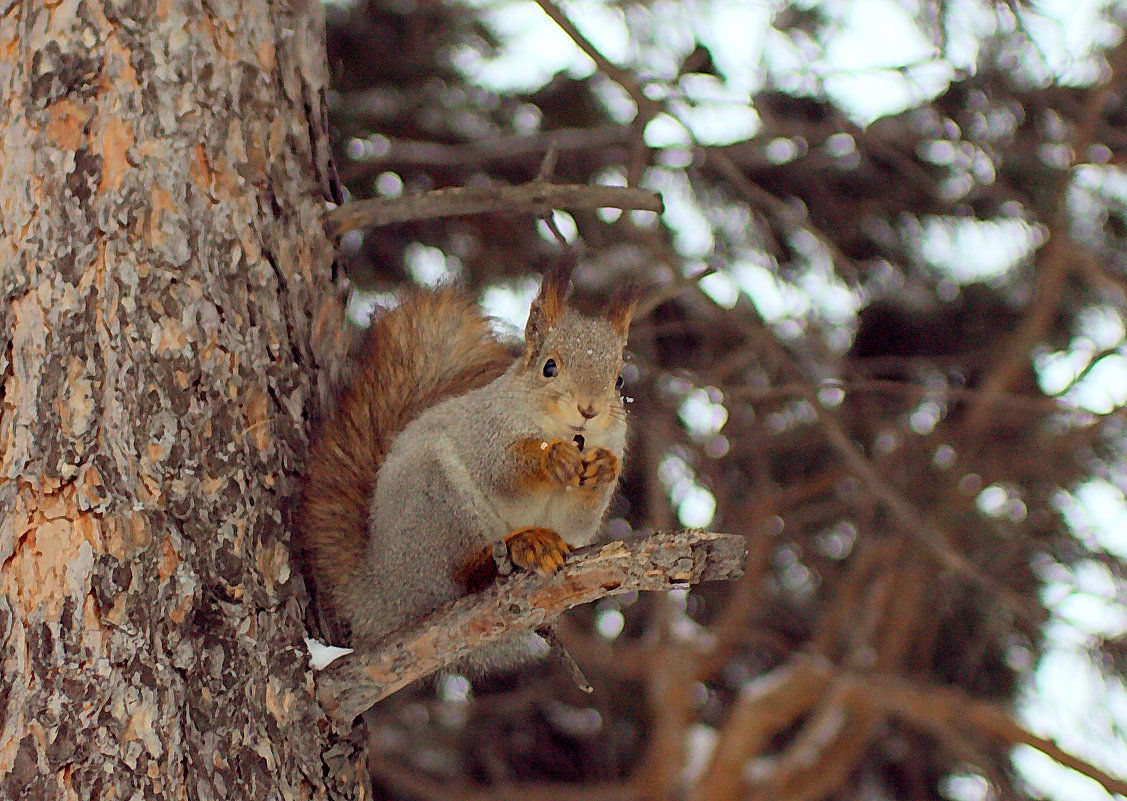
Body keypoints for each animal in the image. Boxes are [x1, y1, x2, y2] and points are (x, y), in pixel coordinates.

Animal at [299, 261, 635, 671]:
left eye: (619, 380)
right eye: (549, 367)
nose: (588, 410)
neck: (565, 434)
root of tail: (382, 593)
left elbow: (579, 518)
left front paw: (604, 467)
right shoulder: (483, 430)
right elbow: (502, 469)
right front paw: (551, 457)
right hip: (439, 503)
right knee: (460, 574)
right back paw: (524, 545)